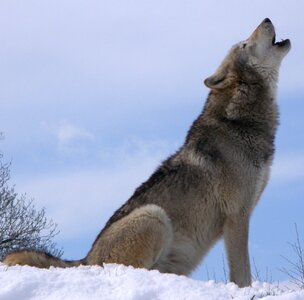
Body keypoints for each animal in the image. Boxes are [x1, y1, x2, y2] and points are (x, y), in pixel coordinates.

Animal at [3, 17, 290, 288]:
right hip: (154, 215)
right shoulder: (237, 216)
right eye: (244, 44)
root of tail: (85, 260)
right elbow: (242, 274)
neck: (240, 121)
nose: (266, 18)